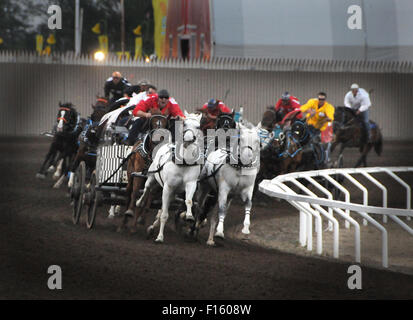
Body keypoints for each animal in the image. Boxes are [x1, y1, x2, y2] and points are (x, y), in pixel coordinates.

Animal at [137, 112, 203, 242]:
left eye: (198, 126)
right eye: (184, 123)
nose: (189, 138)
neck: (183, 162)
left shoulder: (191, 183)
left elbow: (188, 200)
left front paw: (189, 216)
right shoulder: (168, 187)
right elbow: (164, 215)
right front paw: (160, 237)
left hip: (172, 193)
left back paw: (151, 227)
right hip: (152, 178)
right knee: (147, 189)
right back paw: (139, 202)